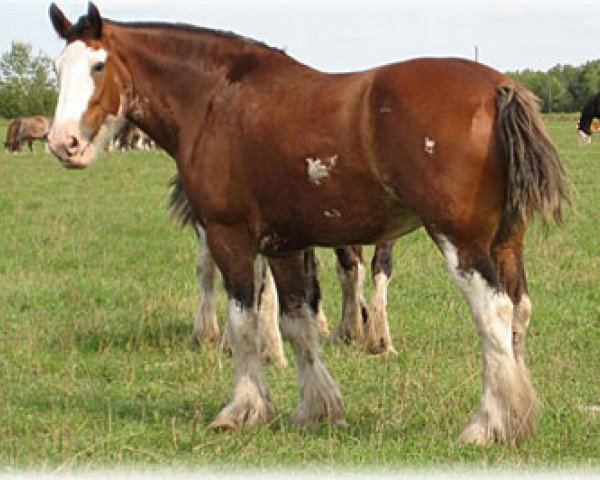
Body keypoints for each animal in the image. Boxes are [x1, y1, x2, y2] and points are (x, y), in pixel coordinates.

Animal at [47, 3, 568, 446]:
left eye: (98, 66)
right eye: (57, 68)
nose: (62, 143)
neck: (216, 98)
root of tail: (497, 88)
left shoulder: (230, 237)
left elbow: (244, 324)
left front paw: (241, 410)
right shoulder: (285, 245)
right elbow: (296, 323)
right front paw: (318, 408)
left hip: (461, 243)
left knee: (493, 314)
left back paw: (487, 424)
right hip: (506, 242)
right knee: (519, 311)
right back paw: (519, 416)